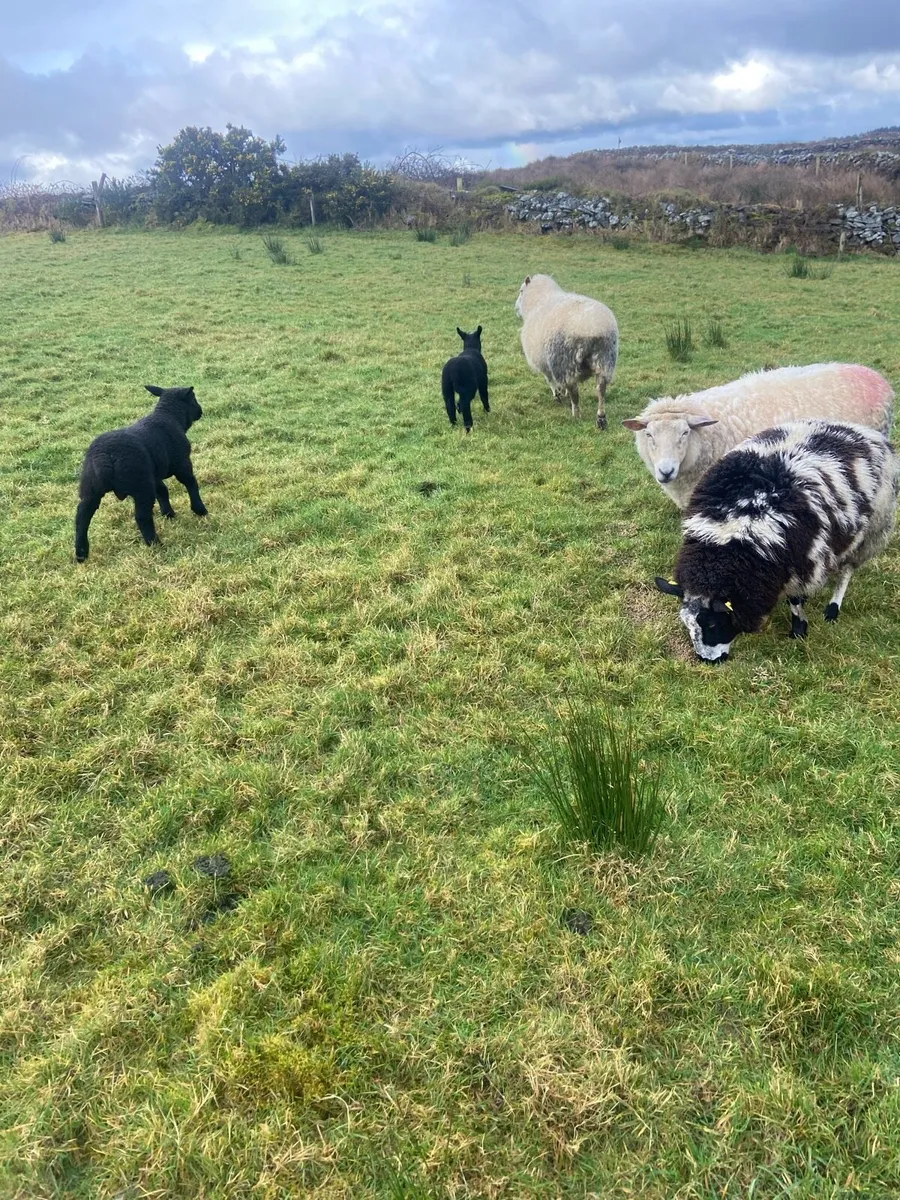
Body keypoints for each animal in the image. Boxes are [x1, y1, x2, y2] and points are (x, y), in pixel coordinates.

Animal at [74, 384, 207, 562]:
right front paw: (199, 509)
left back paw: (81, 553)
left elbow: (163, 491)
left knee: (82, 517)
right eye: (193, 399)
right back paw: (155, 543)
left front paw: (168, 513)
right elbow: (191, 483)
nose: (200, 411)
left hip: (91, 488)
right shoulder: (182, 463)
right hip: (141, 486)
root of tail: (105, 458)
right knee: (142, 517)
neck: (169, 417)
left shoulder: (154, 474)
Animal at [515, 274, 618, 428]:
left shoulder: (544, 362)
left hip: (565, 363)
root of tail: (591, 328)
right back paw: (601, 418)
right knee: (601, 389)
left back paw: (576, 415)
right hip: (605, 360)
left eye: (521, 291)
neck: (538, 300)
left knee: (574, 393)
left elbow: (550, 380)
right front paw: (562, 393)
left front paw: (557, 395)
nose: (515, 308)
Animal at [654, 419, 899, 663]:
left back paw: (833, 609)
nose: (709, 661)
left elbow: (795, 599)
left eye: (714, 624)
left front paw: (799, 630)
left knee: (847, 570)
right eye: (687, 624)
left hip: (872, 529)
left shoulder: (804, 558)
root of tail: (856, 428)